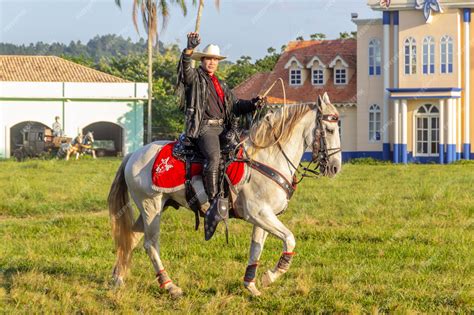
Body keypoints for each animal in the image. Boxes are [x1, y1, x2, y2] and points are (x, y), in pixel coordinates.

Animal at [108, 93, 340, 298]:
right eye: (329, 130)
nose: (335, 168)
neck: (268, 158)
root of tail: (133, 154)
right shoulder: (258, 214)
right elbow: (290, 239)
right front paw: (270, 276)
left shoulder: (264, 217)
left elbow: (256, 248)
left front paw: (251, 286)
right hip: (151, 206)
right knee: (150, 244)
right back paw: (170, 286)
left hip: (156, 207)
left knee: (131, 237)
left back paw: (118, 278)